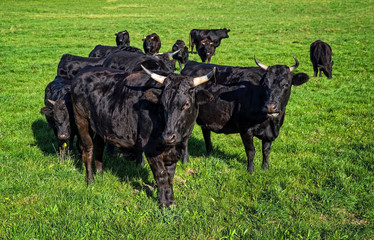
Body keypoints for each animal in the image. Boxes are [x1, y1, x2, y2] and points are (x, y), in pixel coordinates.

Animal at [71, 65, 215, 206]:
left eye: (186, 104)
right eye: (163, 105)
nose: (168, 137)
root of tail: (84, 71)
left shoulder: (174, 152)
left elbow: (170, 176)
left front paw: (170, 200)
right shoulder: (151, 148)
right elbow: (161, 176)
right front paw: (165, 204)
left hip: (101, 126)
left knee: (99, 147)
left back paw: (100, 175)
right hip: (81, 120)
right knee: (88, 149)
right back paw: (90, 180)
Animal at [182, 56, 310, 172]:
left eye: (286, 84)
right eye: (265, 84)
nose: (270, 107)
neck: (271, 123)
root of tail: (191, 63)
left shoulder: (269, 134)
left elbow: (266, 150)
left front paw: (265, 168)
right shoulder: (245, 129)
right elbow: (251, 151)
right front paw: (250, 170)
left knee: (206, 133)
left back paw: (210, 152)